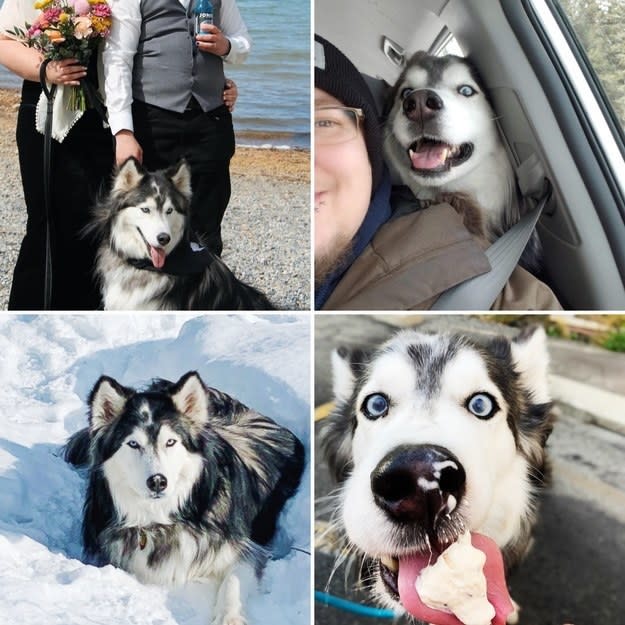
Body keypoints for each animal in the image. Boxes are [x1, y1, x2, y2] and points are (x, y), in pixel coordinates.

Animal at [64, 370, 304, 624]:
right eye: (133, 444)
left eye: (170, 442)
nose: (157, 481)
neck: (161, 520)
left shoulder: (246, 548)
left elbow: (233, 580)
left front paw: (228, 617)